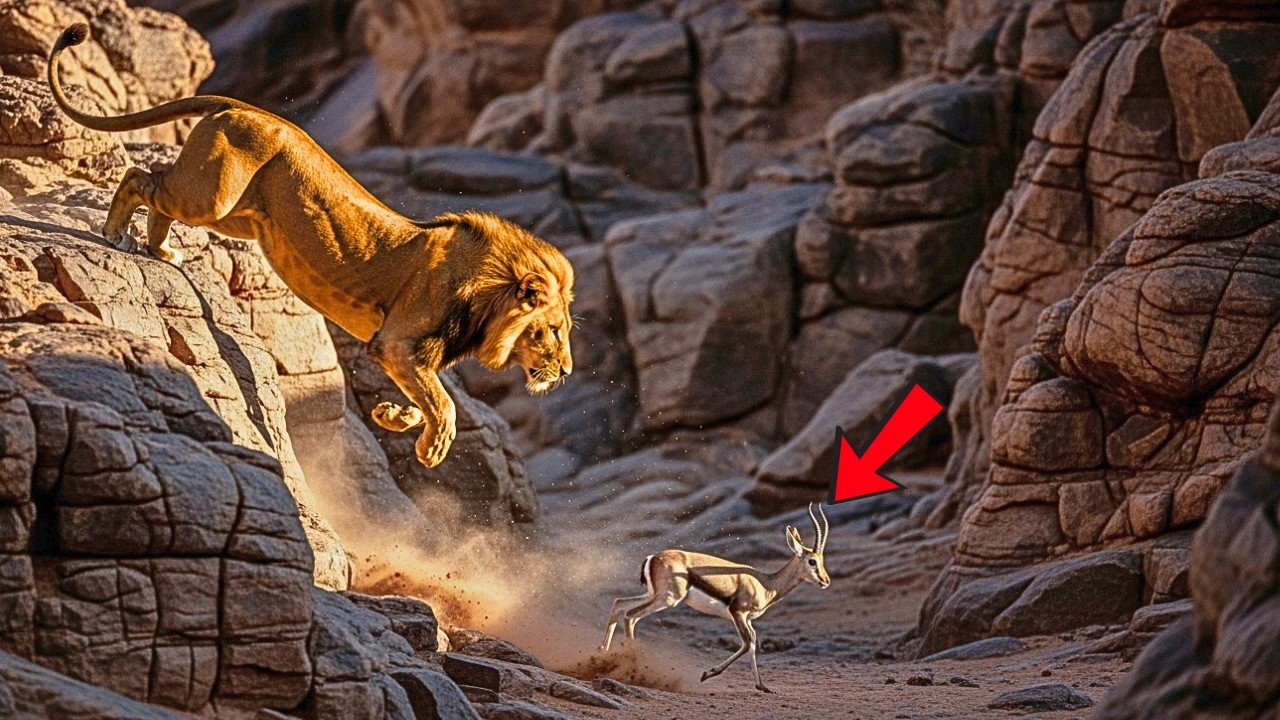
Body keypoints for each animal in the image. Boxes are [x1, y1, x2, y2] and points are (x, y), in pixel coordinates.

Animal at [46, 23, 574, 468]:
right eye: (550, 331)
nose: (567, 372)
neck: (488, 296)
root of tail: (247, 106)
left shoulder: (407, 357)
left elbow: (427, 400)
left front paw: (392, 417)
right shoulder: (398, 344)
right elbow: (445, 405)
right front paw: (432, 448)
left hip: (236, 215)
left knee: (157, 190)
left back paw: (160, 250)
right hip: (213, 197)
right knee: (141, 177)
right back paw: (117, 233)